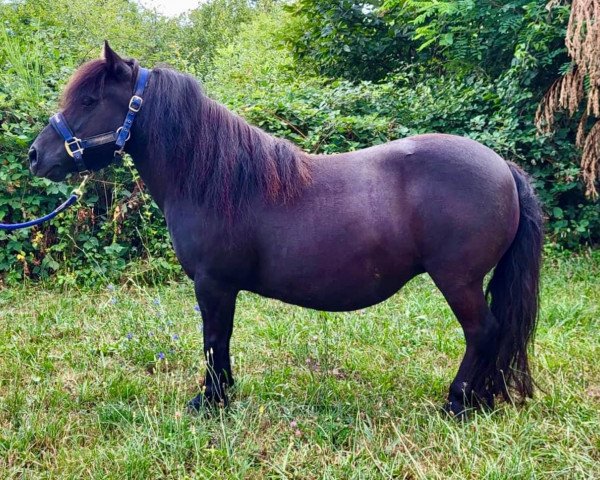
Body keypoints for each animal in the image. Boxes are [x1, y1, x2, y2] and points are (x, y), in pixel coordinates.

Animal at [29, 43, 544, 414]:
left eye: (90, 100)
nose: (36, 155)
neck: (212, 177)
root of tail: (504, 167)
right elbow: (220, 340)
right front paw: (222, 395)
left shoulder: (213, 284)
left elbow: (215, 339)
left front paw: (210, 401)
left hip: (458, 280)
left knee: (482, 331)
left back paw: (458, 402)